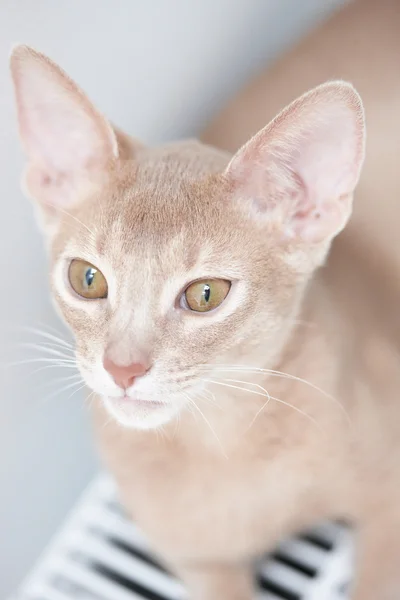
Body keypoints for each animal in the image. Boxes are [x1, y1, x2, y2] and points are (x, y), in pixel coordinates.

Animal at [8, 43, 400, 600]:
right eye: (87, 279)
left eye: (205, 295)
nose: (122, 368)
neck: (221, 447)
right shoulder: (196, 560)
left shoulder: (391, 497)